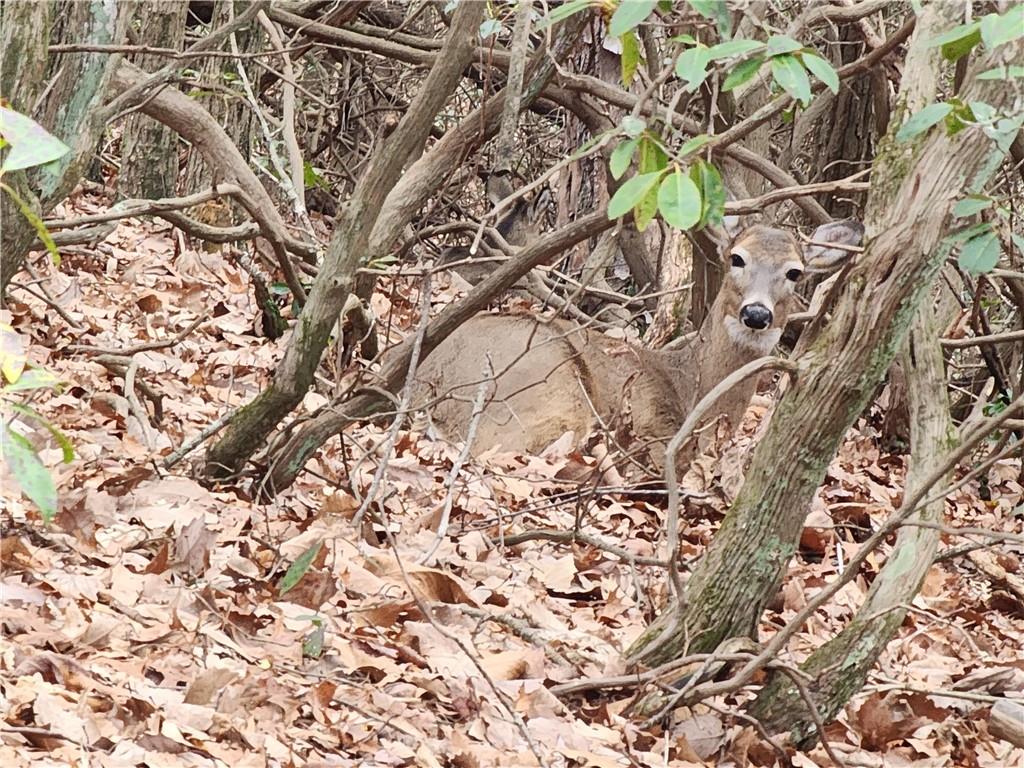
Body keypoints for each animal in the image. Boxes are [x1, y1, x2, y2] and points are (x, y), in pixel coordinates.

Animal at [411, 219, 860, 475]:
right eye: (737, 258)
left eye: (794, 271)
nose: (756, 313)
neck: (689, 387)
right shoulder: (651, 424)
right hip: (543, 391)